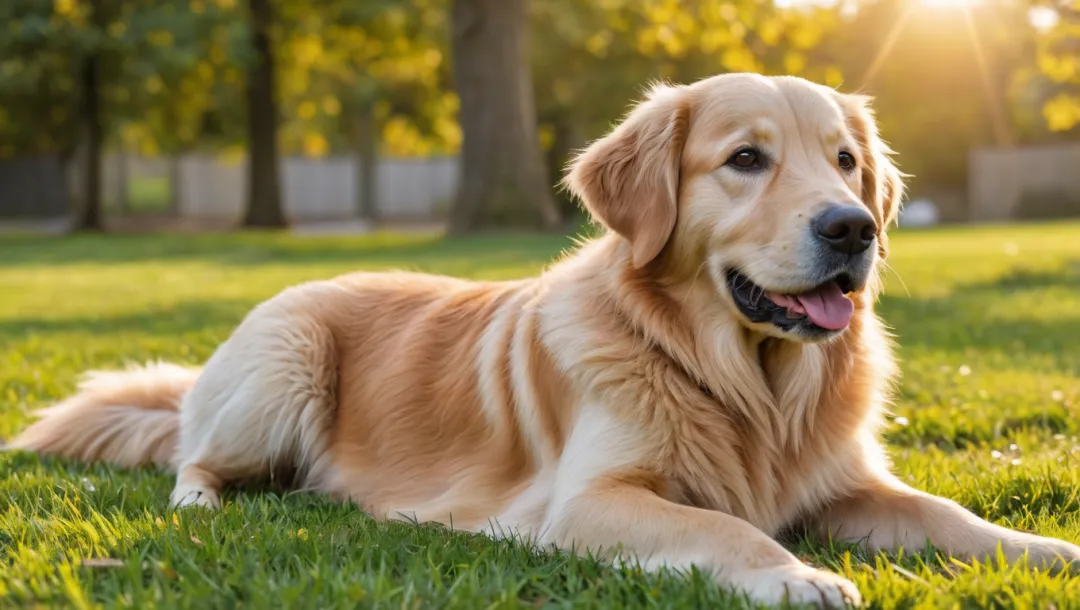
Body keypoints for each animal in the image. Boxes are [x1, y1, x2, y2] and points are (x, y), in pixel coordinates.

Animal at [10, 73, 1080, 604]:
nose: (854, 229)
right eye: (746, 160)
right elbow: (722, 525)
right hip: (286, 361)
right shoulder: (592, 500)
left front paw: (1043, 547)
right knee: (191, 459)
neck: (745, 383)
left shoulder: (846, 485)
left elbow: (950, 516)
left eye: (848, 162)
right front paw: (799, 579)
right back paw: (206, 505)